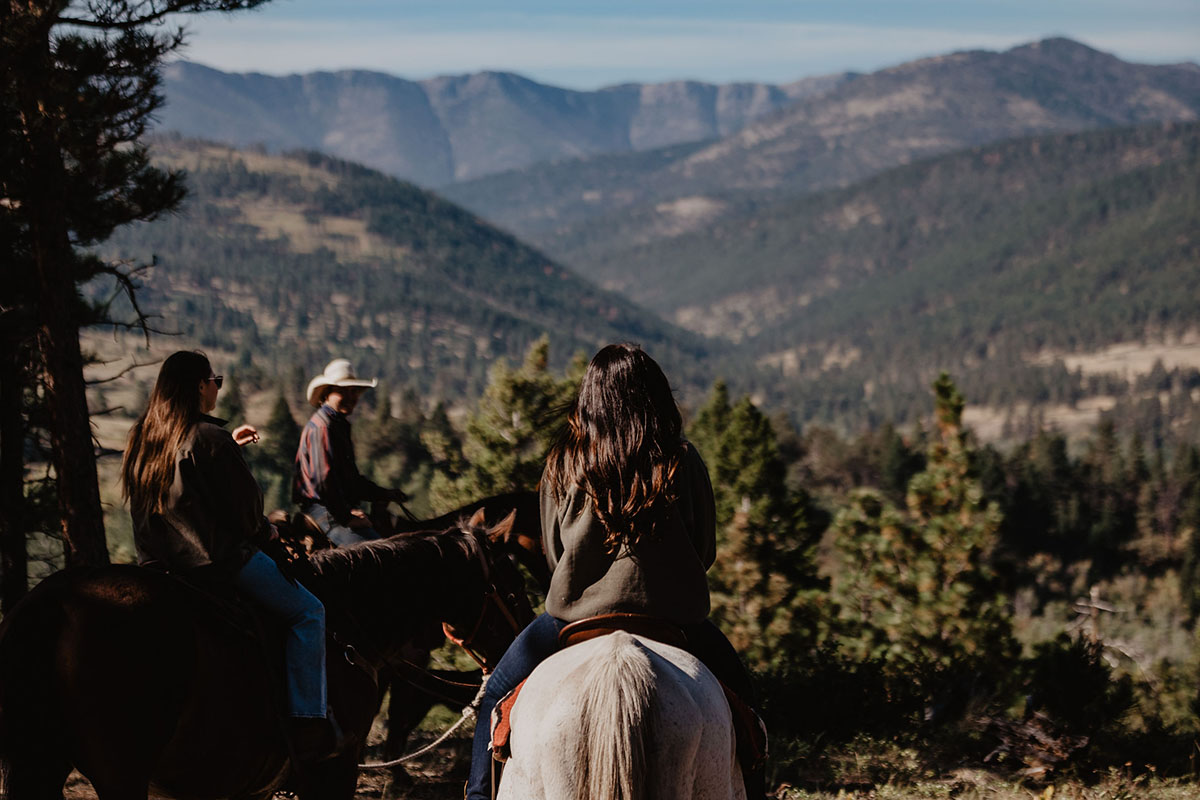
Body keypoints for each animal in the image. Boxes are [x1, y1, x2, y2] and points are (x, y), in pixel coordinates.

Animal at [0, 515, 530, 796]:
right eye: (513, 582)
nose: (524, 645)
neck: (346, 614)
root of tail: (55, 600)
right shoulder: (334, 767)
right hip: (121, 775)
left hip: (43, 762)